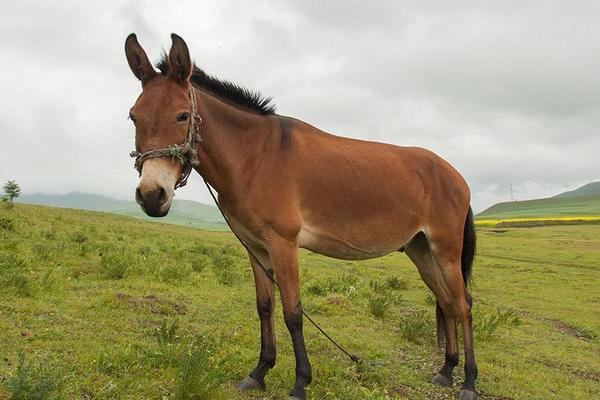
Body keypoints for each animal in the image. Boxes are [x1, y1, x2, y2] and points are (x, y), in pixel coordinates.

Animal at [125, 34, 478, 400]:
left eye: (182, 116)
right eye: (133, 117)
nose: (152, 195)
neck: (255, 156)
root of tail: (455, 175)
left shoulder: (283, 245)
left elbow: (293, 312)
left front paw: (300, 382)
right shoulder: (256, 247)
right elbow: (265, 306)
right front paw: (259, 372)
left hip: (445, 251)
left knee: (463, 305)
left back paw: (468, 381)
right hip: (421, 252)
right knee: (446, 302)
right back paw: (446, 370)